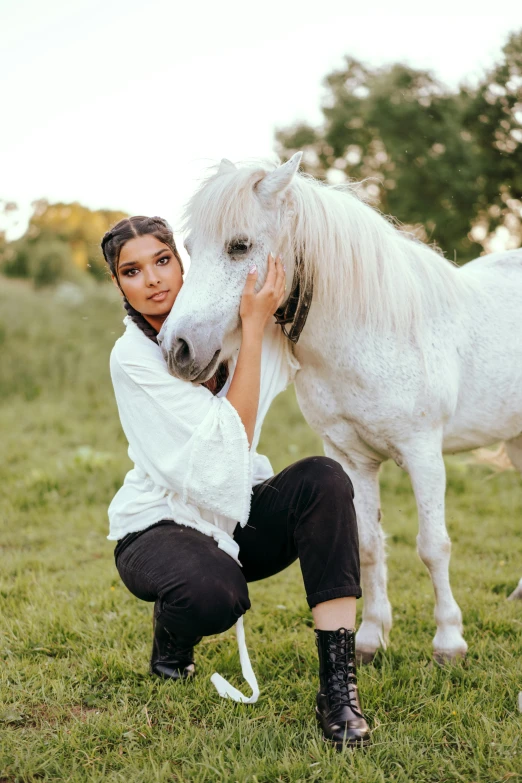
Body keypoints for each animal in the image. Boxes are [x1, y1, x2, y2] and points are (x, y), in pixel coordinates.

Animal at [158, 152, 520, 660]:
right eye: (189, 247)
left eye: (239, 246)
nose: (177, 348)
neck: (372, 328)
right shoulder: (351, 457)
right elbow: (367, 545)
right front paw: (370, 638)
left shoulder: (423, 453)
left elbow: (433, 545)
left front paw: (449, 642)